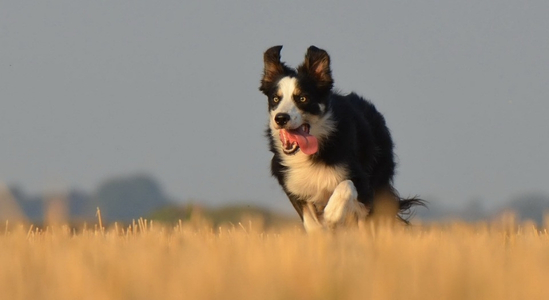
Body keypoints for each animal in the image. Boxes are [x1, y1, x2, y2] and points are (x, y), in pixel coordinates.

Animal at [260, 45, 422, 231]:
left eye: (302, 98)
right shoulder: (293, 185)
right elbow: (311, 223)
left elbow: (346, 186)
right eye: (275, 99)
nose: (280, 118)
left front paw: (332, 214)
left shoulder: (363, 185)